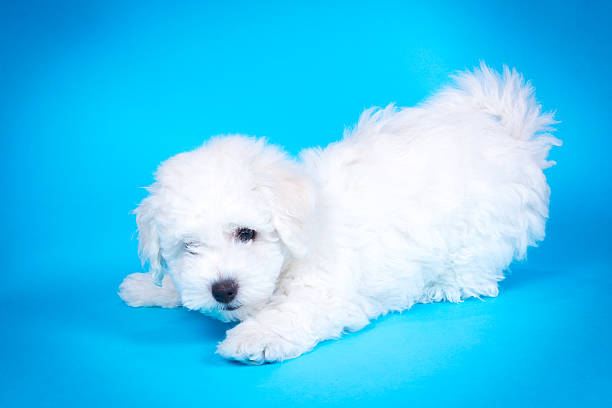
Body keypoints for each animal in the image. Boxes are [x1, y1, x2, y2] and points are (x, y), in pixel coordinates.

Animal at [118, 63, 560, 364]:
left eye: (247, 233)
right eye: (188, 247)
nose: (222, 289)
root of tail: (510, 139)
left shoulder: (325, 292)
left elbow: (292, 312)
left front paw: (253, 339)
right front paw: (149, 287)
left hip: (479, 236)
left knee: (473, 273)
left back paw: (437, 286)